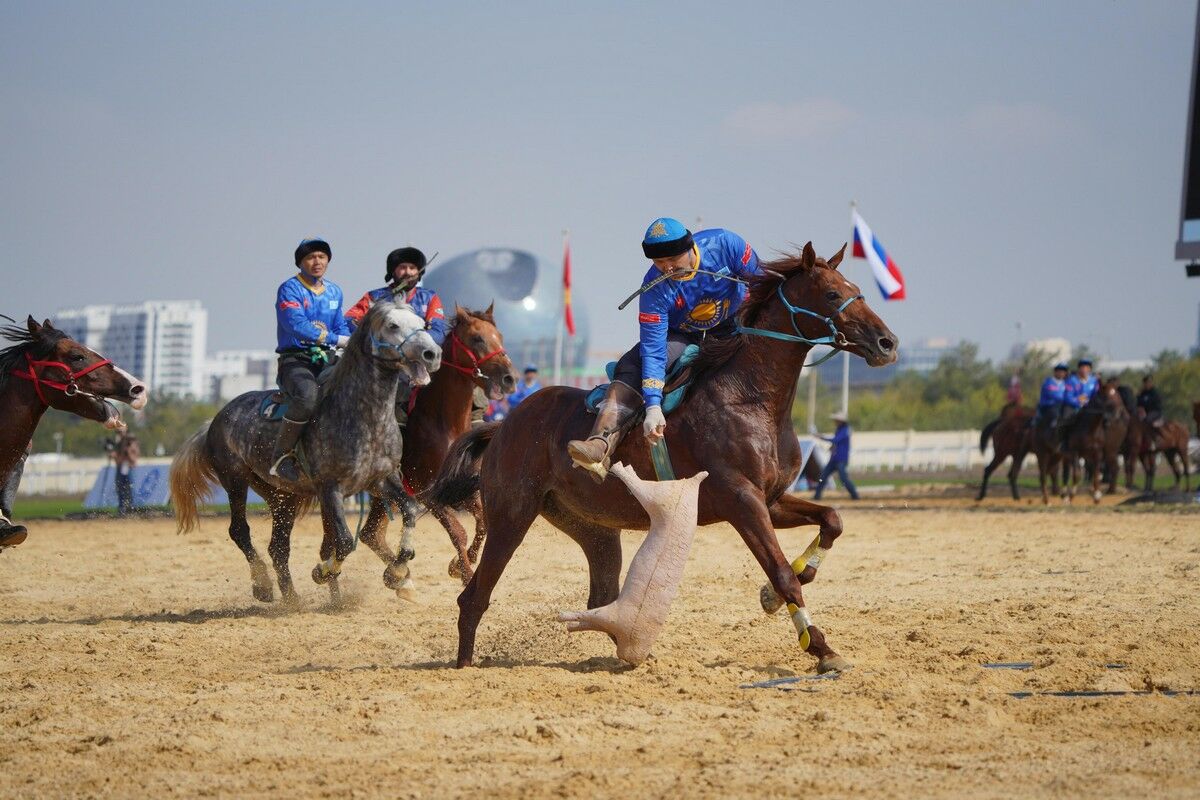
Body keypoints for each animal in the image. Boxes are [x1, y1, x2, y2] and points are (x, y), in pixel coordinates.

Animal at [171, 303, 444, 604]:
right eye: (393, 325)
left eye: (422, 323)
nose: (432, 354)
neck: (361, 417)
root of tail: (215, 420)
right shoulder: (330, 488)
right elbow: (343, 542)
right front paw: (323, 572)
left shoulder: (382, 480)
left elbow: (409, 511)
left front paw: (397, 574)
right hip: (235, 480)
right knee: (240, 531)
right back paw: (263, 585)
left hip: (282, 496)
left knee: (278, 547)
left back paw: (291, 597)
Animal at [350, 303, 513, 597]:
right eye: (477, 338)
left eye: (500, 336)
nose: (509, 378)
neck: (443, 425)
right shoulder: (426, 493)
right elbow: (458, 531)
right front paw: (465, 574)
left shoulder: (461, 487)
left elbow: (483, 521)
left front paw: (460, 564)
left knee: (370, 533)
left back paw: (397, 576)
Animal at [427, 245, 897, 676]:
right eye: (834, 294)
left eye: (857, 290)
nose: (887, 343)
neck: (749, 397)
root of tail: (504, 424)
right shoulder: (742, 501)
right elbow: (782, 574)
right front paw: (821, 647)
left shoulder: (773, 499)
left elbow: (832, 520)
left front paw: (792, 583)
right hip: (512, 516)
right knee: (475, 595)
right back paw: (464, 665)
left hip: (593, 529)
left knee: (601, 596)